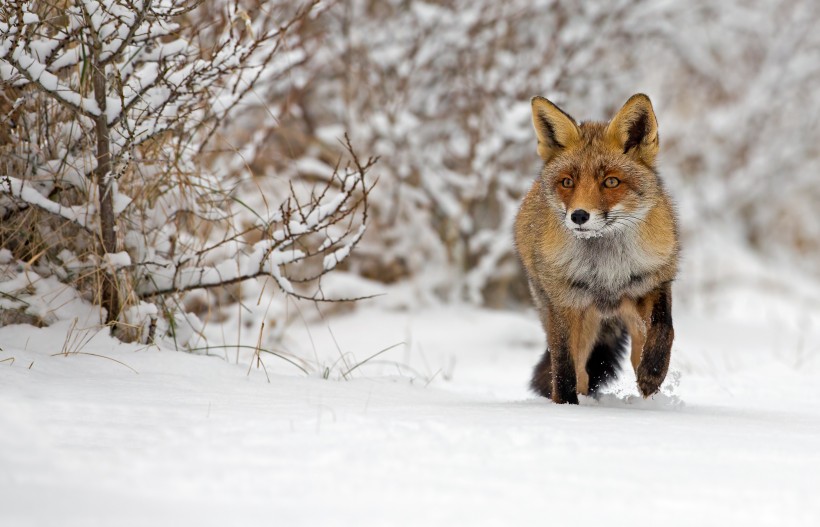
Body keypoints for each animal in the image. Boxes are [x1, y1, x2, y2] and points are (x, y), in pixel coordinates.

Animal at [512, 95, 680, 406]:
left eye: (611, 181)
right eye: (567, 182)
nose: (579, 216)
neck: (606, 270)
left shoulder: (653, 282)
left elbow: (665, 328)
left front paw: (653, 373)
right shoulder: (565, 303)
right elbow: (564, 367)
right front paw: (566, 406)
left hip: (629, 317)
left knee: (636, 351)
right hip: (575, 320)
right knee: (581, 371)